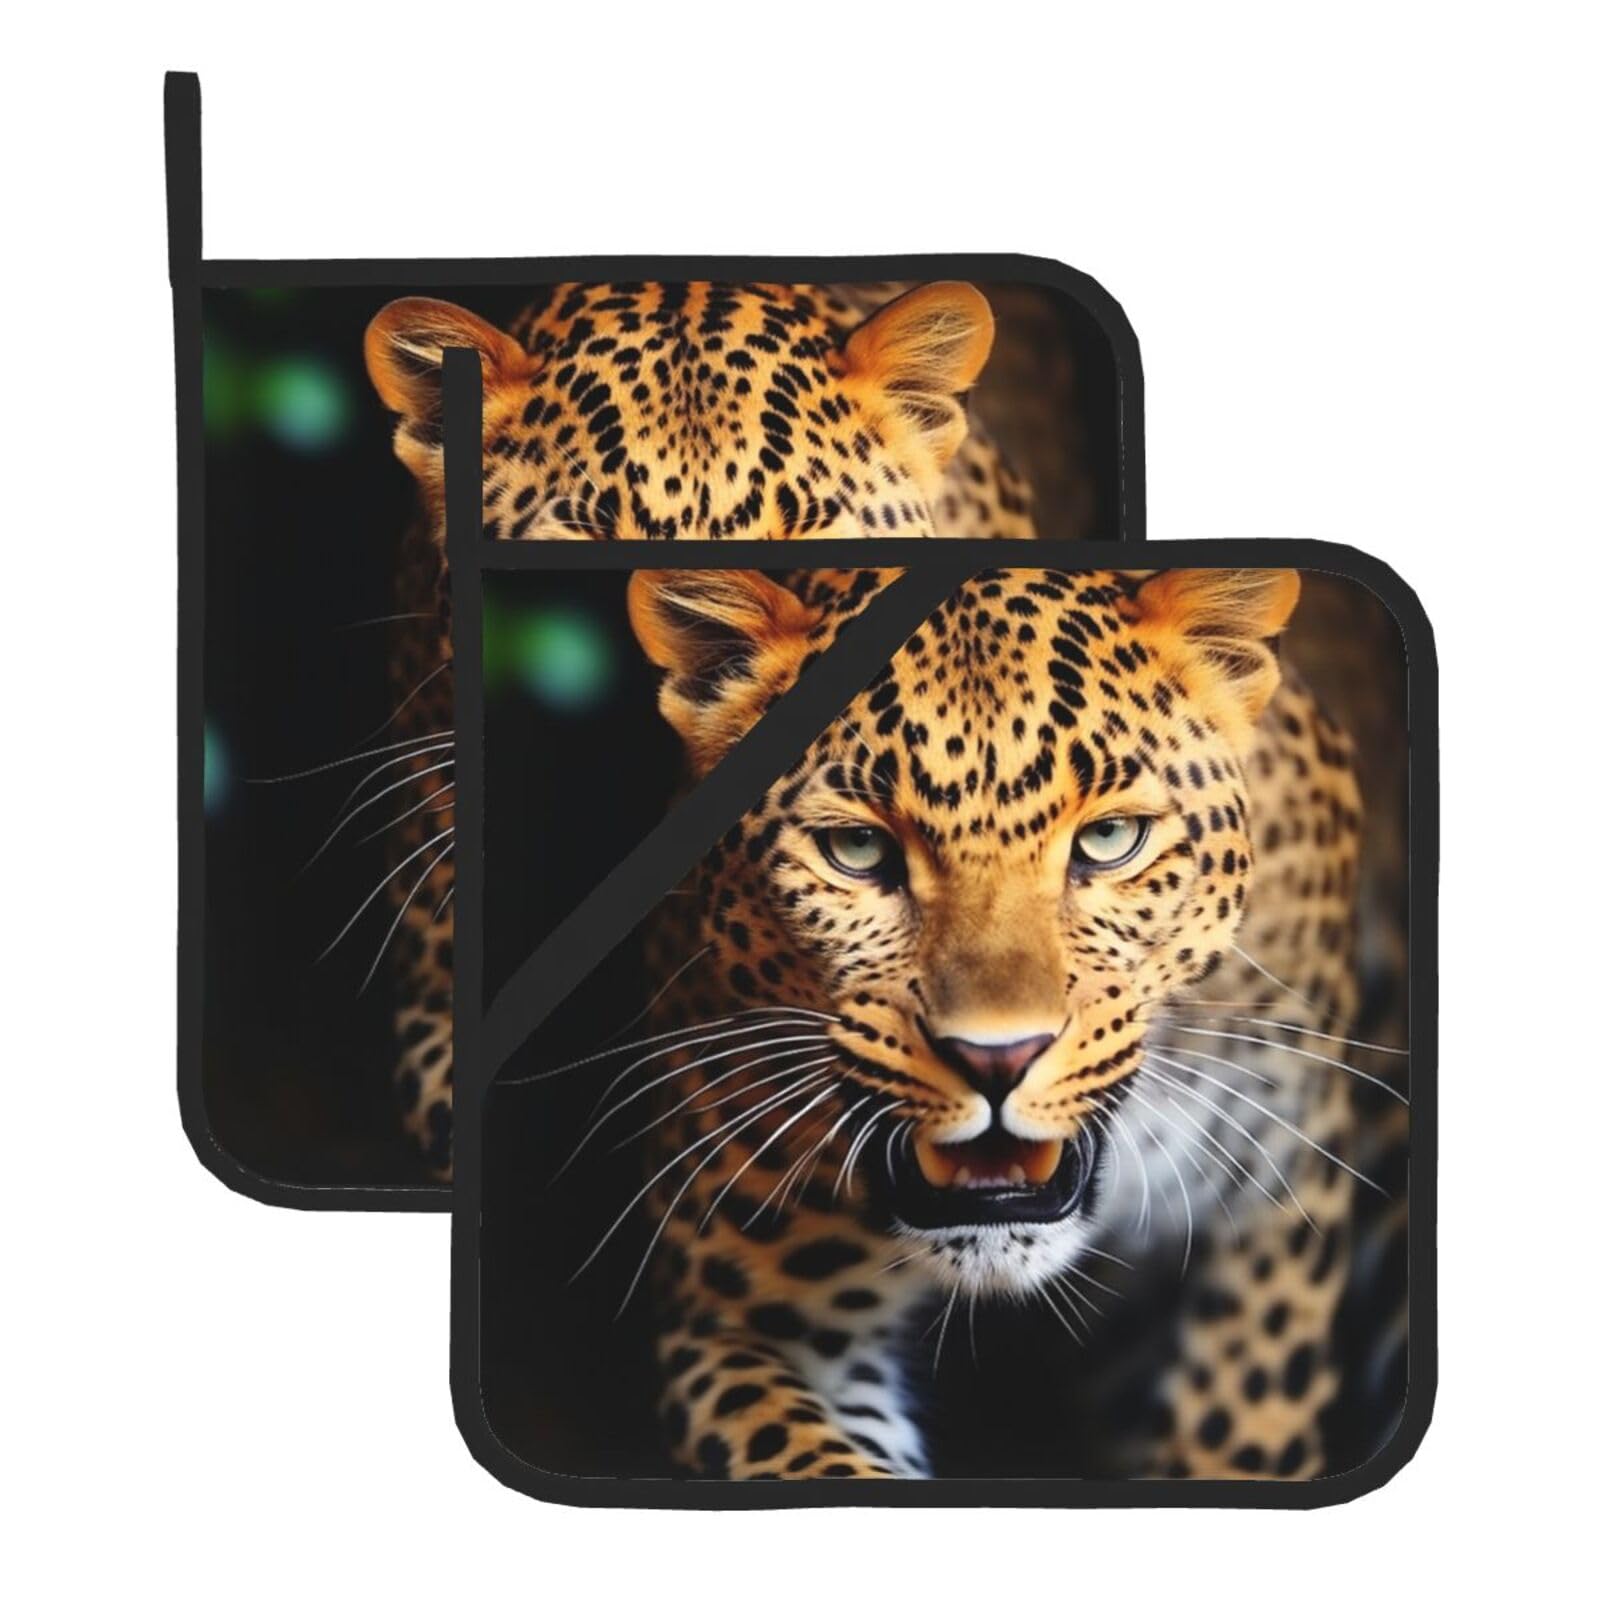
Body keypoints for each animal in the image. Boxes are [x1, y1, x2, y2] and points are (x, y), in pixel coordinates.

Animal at [584, 562, 1405, 1481]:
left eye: (1111, 839)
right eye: (857, 852)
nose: (997, 1060)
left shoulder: (1276, 1211)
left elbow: (1240, 1428)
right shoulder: (742, 1319)